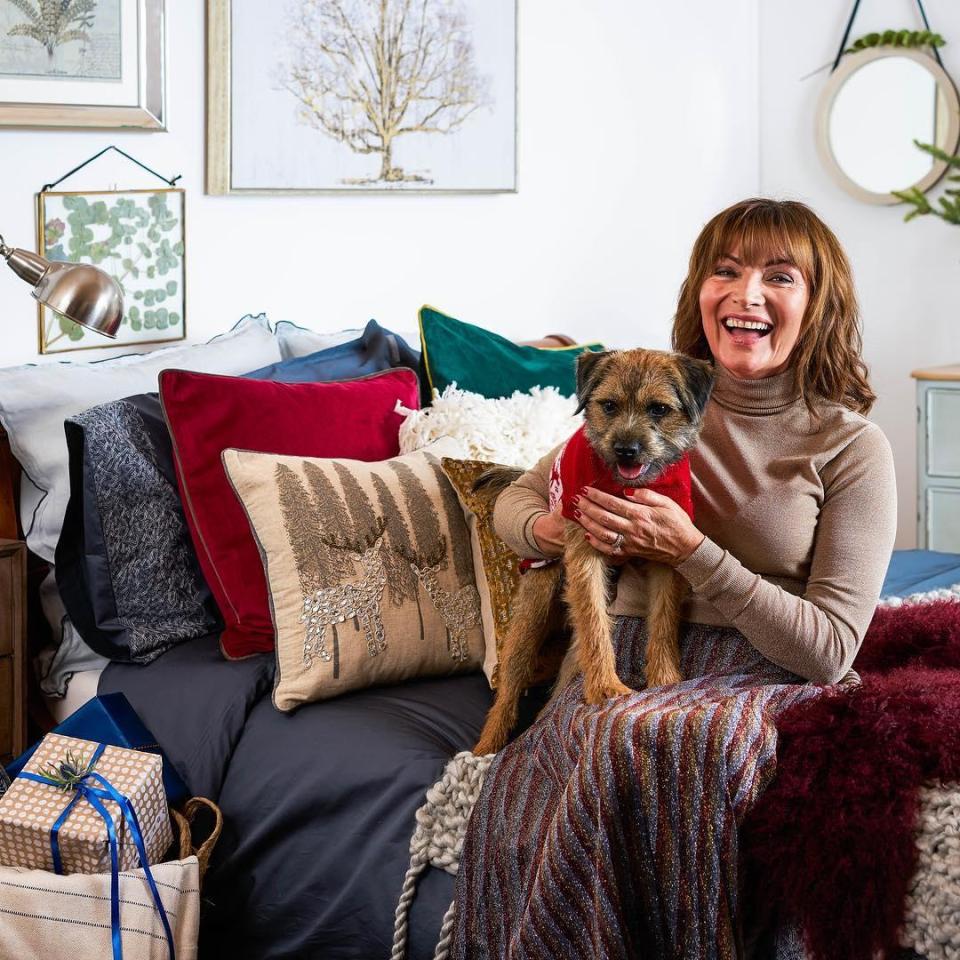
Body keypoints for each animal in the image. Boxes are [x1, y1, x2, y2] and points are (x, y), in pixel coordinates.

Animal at [472, 346, 712, 756]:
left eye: (659, 410)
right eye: (609, 405)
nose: (626, 449)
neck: (626, 489)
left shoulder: (667, 555)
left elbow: (663, 619)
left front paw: (664, 677)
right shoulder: (585, 554)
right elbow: (597, 624)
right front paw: (606, 687)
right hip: (534, 608)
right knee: (509, 687)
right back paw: (484, 749)